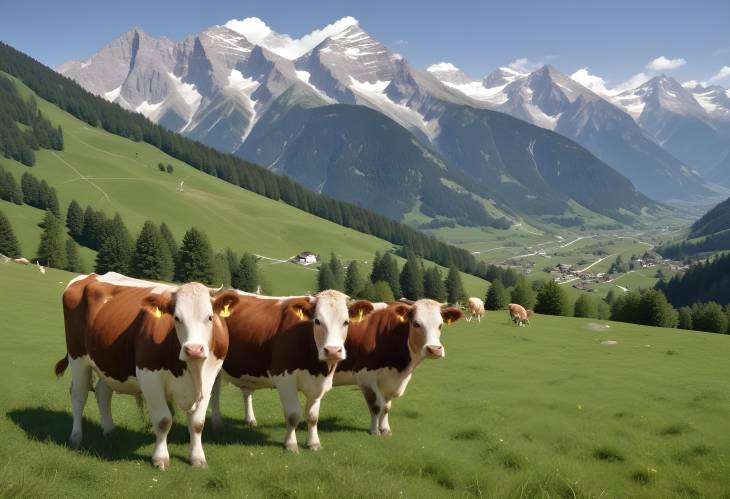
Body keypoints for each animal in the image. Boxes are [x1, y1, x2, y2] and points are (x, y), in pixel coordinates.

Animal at [57, 274, 239, 468]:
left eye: (210, 317)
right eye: (176, 318)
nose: (194, 349)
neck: (192, 369)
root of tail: (91, 276)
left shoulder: (209, 378)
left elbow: (197, 422)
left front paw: (197, 458)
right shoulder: (150, 377)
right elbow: (163, 420)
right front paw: (160, 458)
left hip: (109, 362)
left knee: (102, 392)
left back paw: (110, 430)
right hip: (77, 356)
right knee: (79, 395)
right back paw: (76, 437)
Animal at [209, 290, 370, 454]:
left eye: (346, 322)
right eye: (317, 321)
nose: (332, 351)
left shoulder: (319, 383)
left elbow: (313, 416)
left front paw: (314, 443)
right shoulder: (284, 378)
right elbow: (293, 415)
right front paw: (290, 444)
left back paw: (250, 420)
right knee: (214, 393)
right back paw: (217, 423)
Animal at [219, 300, 464, 438]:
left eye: (440, 325)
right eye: (416, 324)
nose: (434, 349)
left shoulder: (390, 378)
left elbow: (386, 407)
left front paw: (385, 429)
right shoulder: (366, 376)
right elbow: (376, 406)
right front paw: (374, 431)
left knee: (243, 392)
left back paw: (249, 420)